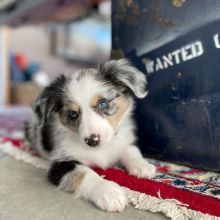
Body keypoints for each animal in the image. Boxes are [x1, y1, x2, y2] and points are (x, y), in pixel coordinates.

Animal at [24, 59, 156, 212]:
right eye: (73, 114)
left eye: (102, 103)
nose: (92, 141)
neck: (101, 150)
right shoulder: (59, 164)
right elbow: (84, 173)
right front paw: (108, 191)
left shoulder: (120, 139)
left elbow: (130, 149)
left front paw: (142, 165)